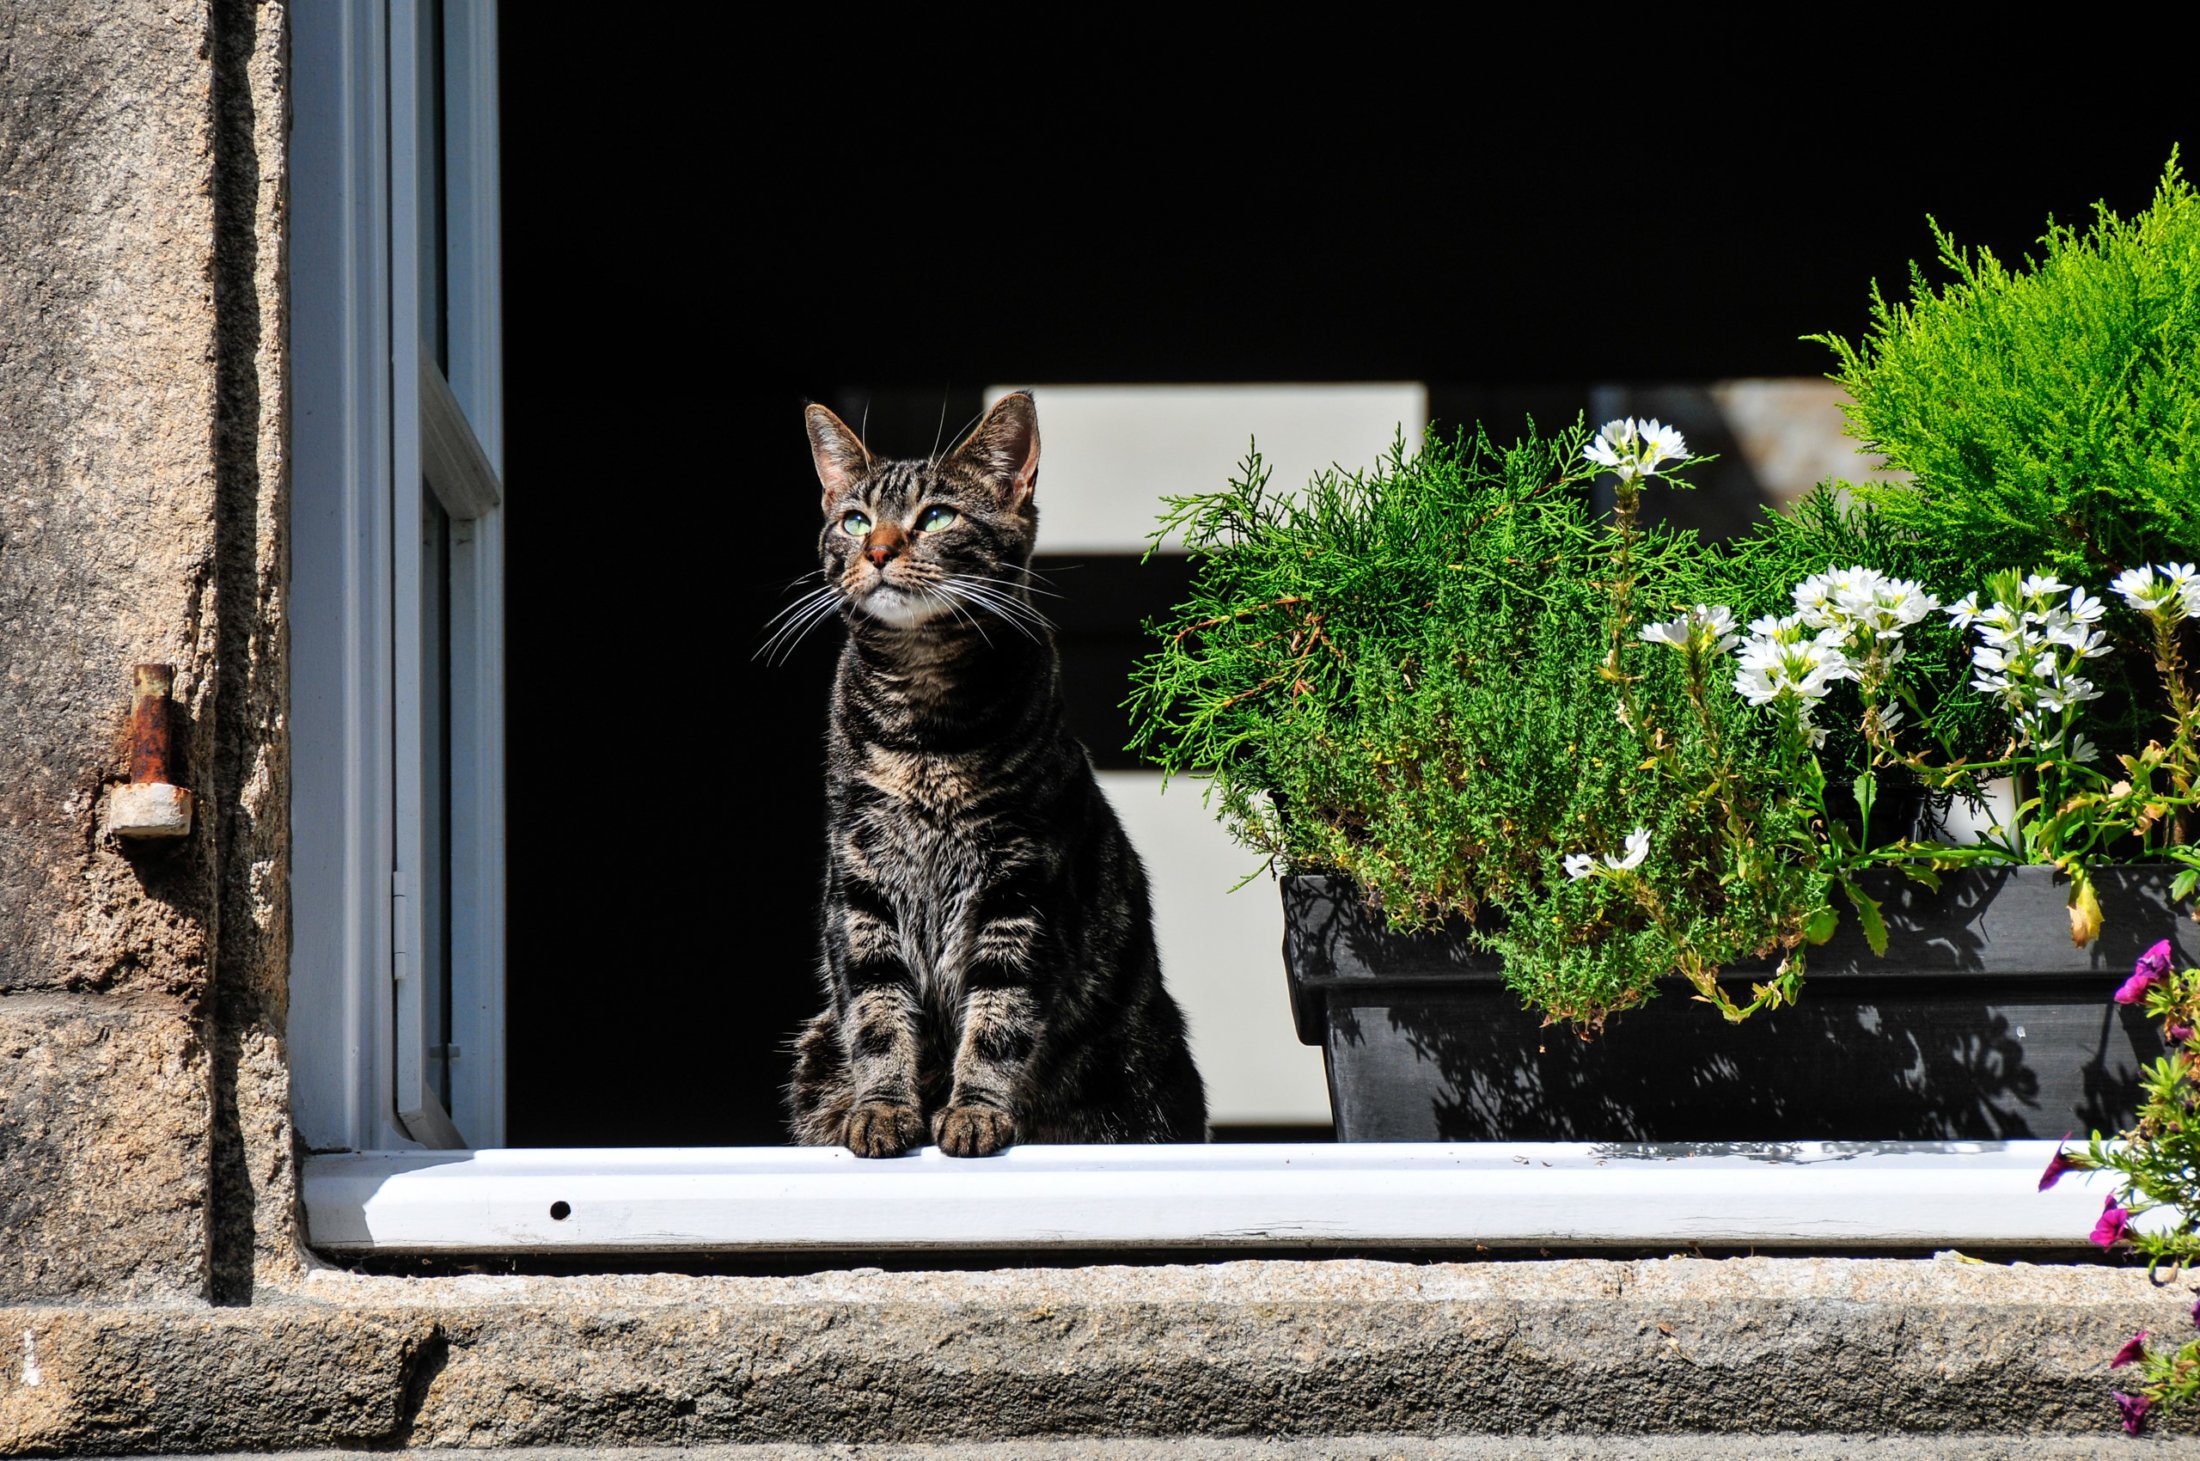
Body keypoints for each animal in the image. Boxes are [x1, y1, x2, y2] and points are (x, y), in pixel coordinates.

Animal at [787, 393, 1214, 1161]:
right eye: (855, 519)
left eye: (936, 516)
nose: (878, 549)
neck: (923, 732)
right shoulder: (861, 885)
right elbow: (876, 1013)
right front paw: (882, 1109)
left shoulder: (1020, 887)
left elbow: (999, 1016)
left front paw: (975, 1113)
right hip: (814, 1049)